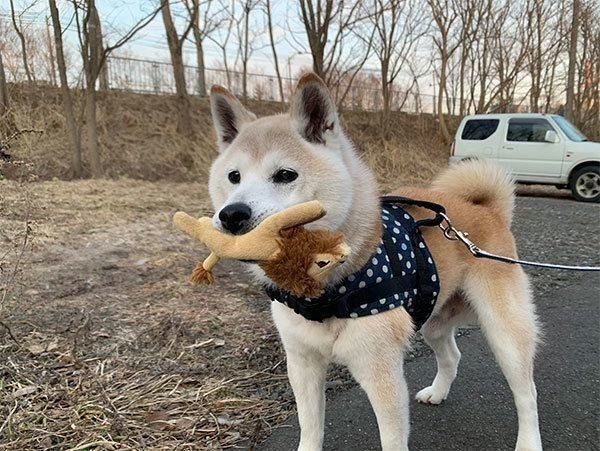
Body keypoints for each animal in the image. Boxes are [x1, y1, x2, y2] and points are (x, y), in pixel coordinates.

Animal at [206, 72, 544, 450]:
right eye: (234, 177)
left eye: (285, 175)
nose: (231, 214)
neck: (324, 285)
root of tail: (487, 210)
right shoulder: (303, 363)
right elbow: (310, 428)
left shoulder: (380, 371)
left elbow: (392, 439)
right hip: (433, 319)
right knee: (452, 356)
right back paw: (438, 392)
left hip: (504, 332)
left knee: (527, 393)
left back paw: (529, 441)